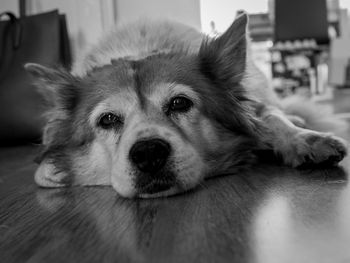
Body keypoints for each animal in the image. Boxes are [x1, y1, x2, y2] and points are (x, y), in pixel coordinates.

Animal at [25, 13, 348, 198]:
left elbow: (272, 119)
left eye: (180, 103)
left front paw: (306, 140)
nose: (148, 153)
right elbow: (43, 173)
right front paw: (54, 171)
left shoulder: (254, 105)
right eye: (107, 119)